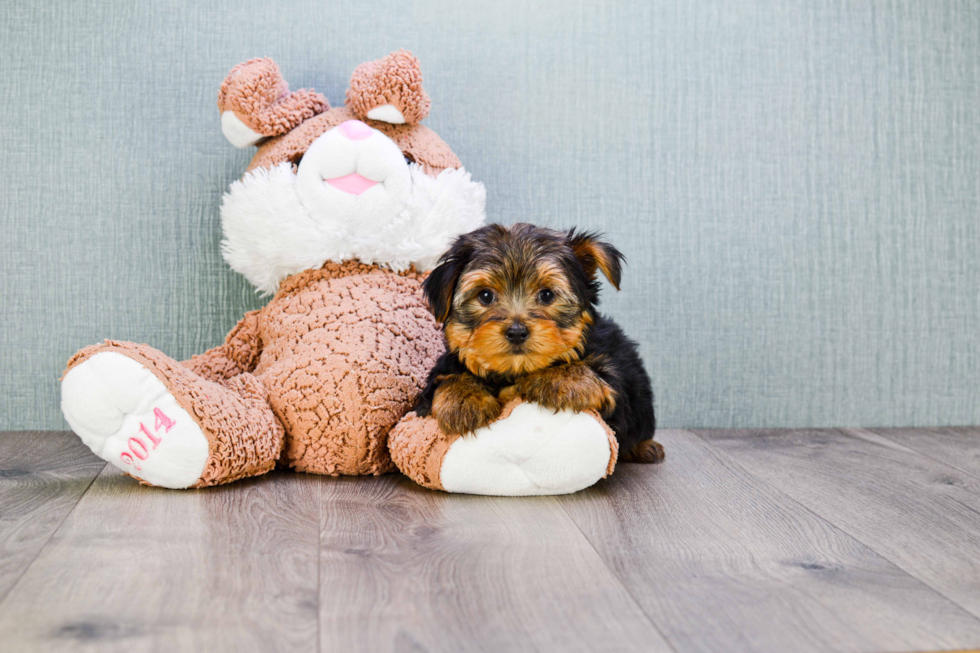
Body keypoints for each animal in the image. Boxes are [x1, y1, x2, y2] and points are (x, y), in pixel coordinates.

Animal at [414, 224, 668, 464]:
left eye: (547, 295)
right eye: (485, 296)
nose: (517, 332)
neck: (515, 370)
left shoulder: (614, 385)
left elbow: (593, 375)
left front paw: (551, 378)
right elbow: (446, 379)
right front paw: (464, 401)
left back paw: (646, 448)